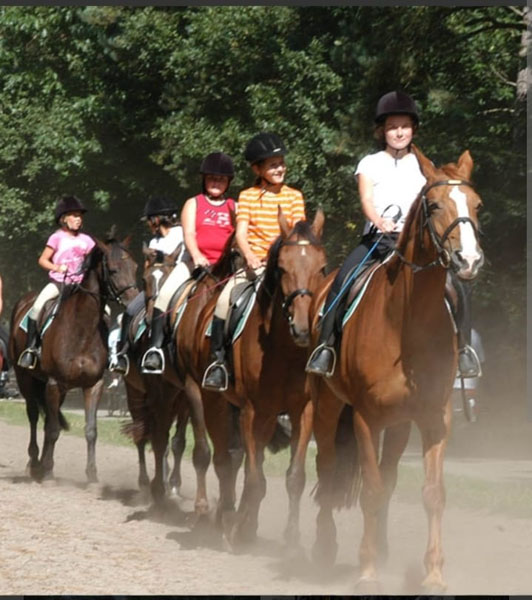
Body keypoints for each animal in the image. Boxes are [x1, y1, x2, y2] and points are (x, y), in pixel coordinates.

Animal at [9, 234, 138, 482]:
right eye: (114, 270)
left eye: (135, 267)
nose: (136, 302)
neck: (81, 330)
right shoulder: (53, 383)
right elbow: (52, 429)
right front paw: (48, 473)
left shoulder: (93, 385)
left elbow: (90, 430)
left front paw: (91, 475)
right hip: (26, 378)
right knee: (33, 415)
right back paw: (34, 463)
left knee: (48, 420)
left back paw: (42, 464)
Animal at [310, 146, 484, 592]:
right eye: (435, 205)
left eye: (476, 205)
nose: (469, 260)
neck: (405, 321)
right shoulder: (366, 419)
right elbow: (370, 491)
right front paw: (368, 572)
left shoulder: (435, 418)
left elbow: (432, 493)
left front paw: (433, 574)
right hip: (327, 408)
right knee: (327, 471)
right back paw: (324, 550)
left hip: (400, 424)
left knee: (388, 478)